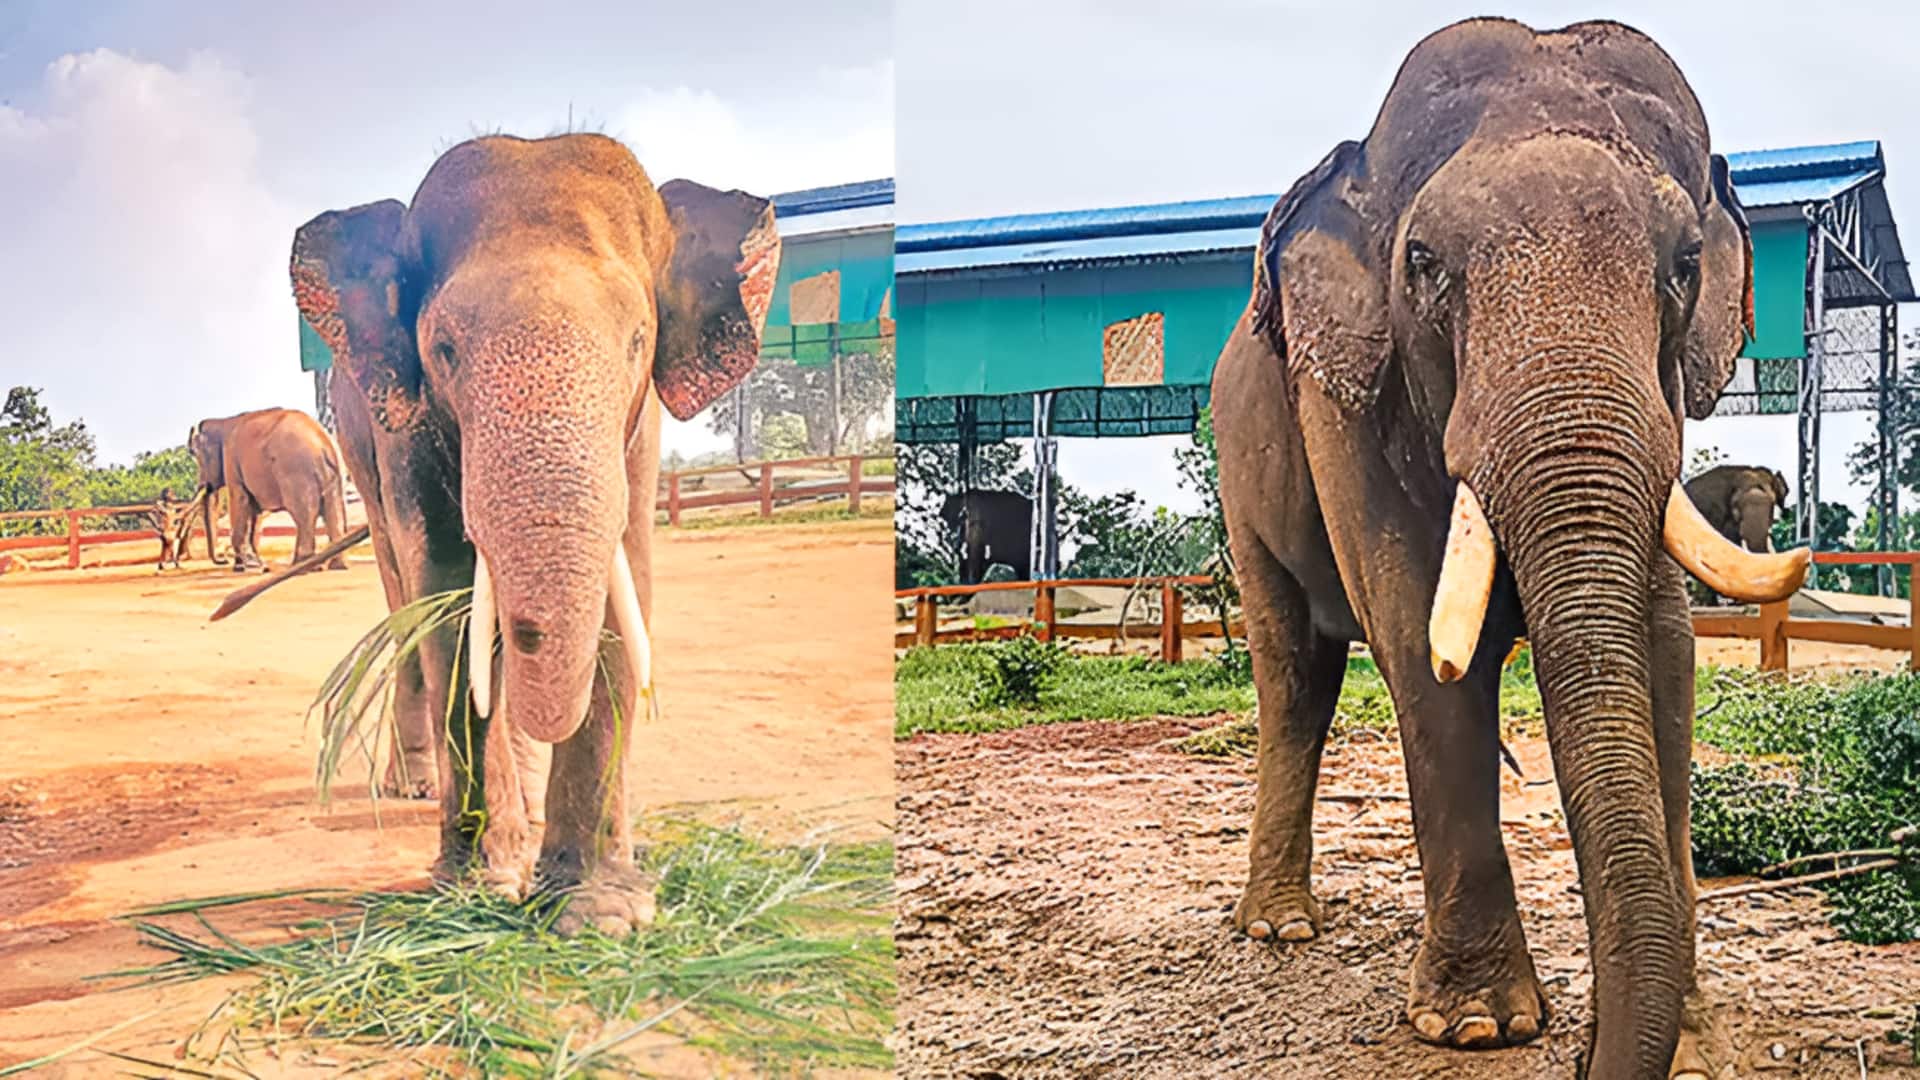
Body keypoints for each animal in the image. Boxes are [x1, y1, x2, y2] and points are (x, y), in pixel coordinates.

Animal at [188, 408, 351, 574]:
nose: (222, 559)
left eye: (196, 455)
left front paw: (243, 567)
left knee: (304, 513)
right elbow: (254, 511)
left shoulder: (231, 462)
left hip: (296, 473)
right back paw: (336, 565)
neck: (223, 421)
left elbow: (240, 500)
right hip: (336, 475)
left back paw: (303, 564)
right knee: (334, 510)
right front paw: (255, 564)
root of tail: (325, 443)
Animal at [285, 133, 779, 936]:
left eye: (638, 340)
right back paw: (420, 791)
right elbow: (446, 595)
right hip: (356, 450)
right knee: (403, 604)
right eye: (444, 348)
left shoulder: (638, 430)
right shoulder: (405, 429)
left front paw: (597, 915)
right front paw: (481, 889)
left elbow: (624, 586)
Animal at [1209, 19, 1809, 1079]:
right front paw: (1479, 1025)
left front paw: (1689, 1034)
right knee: (1294, 674)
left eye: (1685, 263)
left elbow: (1663, 650)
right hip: (1243, 477)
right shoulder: (1342, 402)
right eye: (1421, 262)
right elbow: (1418, 638)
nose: (1587, 1054)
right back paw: (1280, 928)